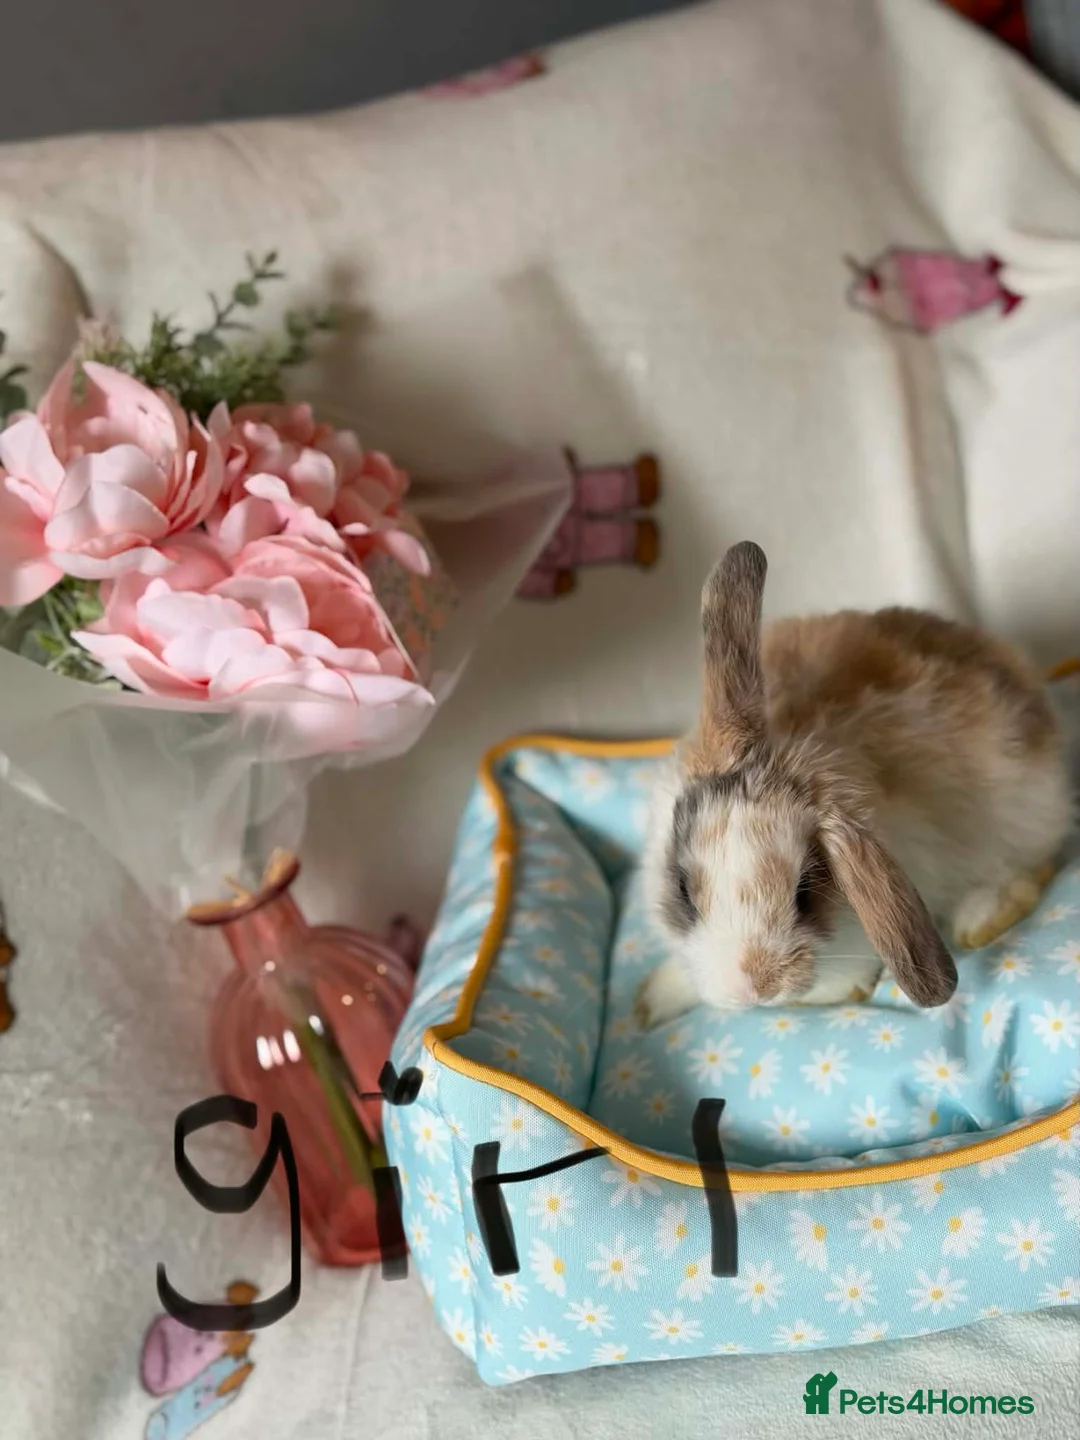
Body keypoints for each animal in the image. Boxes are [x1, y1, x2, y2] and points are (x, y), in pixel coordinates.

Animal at [636, 541, 1073, 1026]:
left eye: (805, 892)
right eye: (682, 889)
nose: (758, 988)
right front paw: (650, 1002)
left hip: (1023, 814)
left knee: (1032, 867)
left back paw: (978, 920)